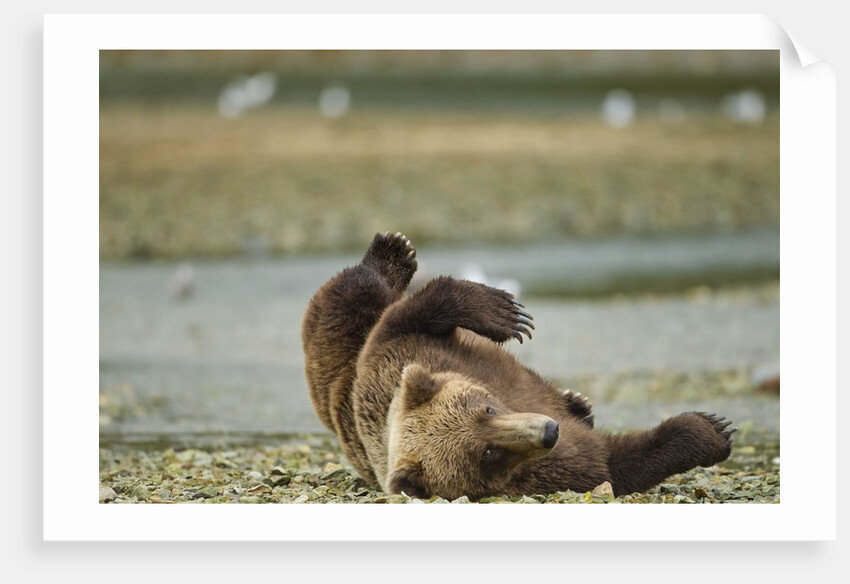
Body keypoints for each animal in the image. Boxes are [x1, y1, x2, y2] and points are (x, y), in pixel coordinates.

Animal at [302, 232, 736, 500]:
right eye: (487, 453)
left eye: (487, 408)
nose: (549, 430)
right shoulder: (547, 472)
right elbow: (614, 463)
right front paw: (711, 430)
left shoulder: (399, 351)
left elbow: (419, 311)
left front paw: (505, 313)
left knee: (360, 293)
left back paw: (392, 252)